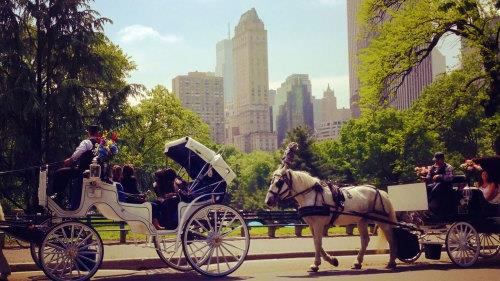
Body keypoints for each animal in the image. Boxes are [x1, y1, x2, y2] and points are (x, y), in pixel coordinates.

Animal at [264, 166, 396, 272]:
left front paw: (316, 264)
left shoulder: (318, 224)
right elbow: (316, 243)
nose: (268, 201)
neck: (311, 195)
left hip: (381, 220)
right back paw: (358, 262)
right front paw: (332, 260)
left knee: (390, 238)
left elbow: (318, 243)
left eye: (279, 183)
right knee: (365, 240)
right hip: (361, 221)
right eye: (271, 181)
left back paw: (391, 262)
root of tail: (381, 192)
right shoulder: (312, 225)